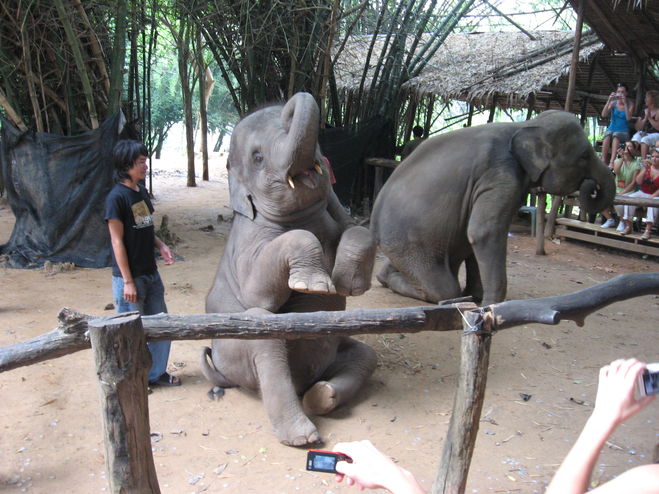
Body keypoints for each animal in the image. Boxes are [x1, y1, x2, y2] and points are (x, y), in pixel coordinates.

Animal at [201, 91, 376, 448]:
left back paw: (321, 397)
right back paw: (302, 436)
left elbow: (358, 229)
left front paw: (348, 285)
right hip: (234, 348)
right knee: (263, 331)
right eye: (257, 157)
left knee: (365, 353)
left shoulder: (337, 213)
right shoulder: (247, 239)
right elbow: (257, 296)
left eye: (320, 146)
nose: (297, 96)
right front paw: (314, 286)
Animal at [374, 110, 616, 306]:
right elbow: (484, 232)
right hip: (410, 246)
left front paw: (477, 297)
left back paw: (385, 277)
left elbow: (473, 237)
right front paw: (491, 306)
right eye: (585, 156)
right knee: (443, 289)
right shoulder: (499, 173)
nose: (592, 185)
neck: (525, 125)